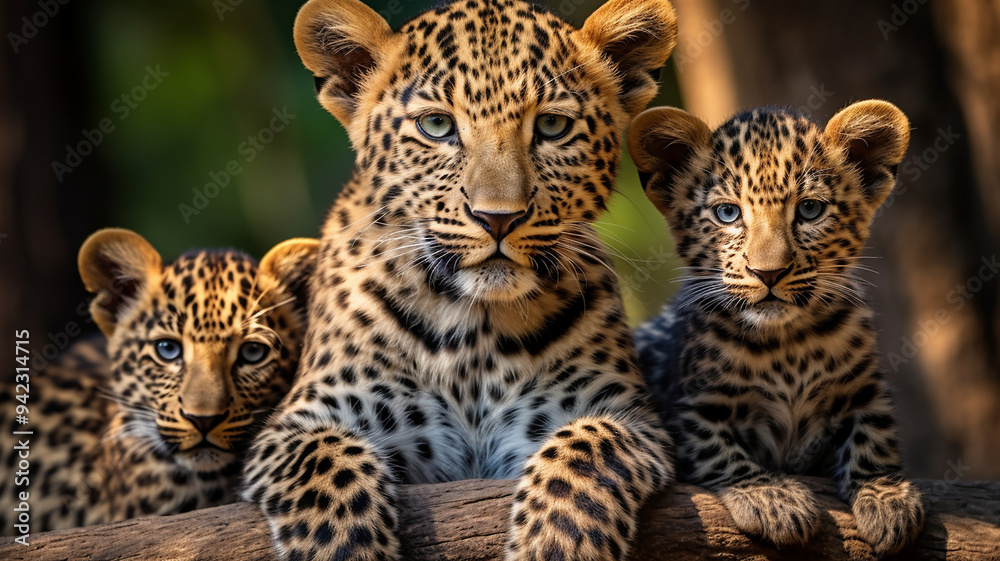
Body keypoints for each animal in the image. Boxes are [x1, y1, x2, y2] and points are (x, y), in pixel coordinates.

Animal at [240, 0, 679, 559]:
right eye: (436, 125)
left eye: (552, 126)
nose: (498, 218)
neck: (476, 333)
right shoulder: (301, 421)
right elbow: (327, 468)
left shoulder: (629, 416)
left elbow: (587, 450)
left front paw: (554, 545)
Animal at [628, 100, 925, 555]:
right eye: (727, 213)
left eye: (810, 210)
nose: (768, 273)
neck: (787, 343)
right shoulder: (692, 408)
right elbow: (719, 451)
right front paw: (770, 498)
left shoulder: (864, 391)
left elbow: (874, 436)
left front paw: (886, 498)